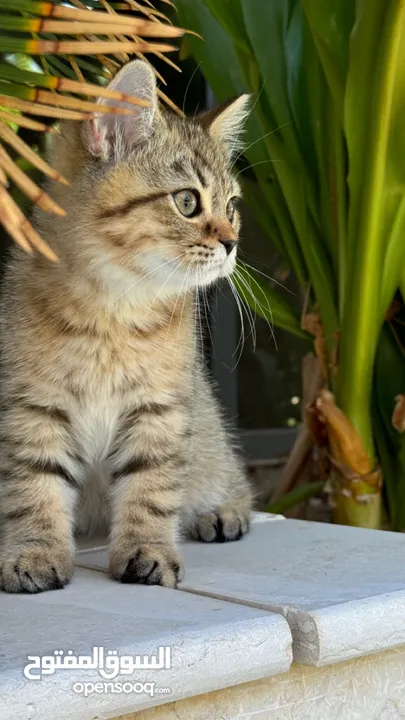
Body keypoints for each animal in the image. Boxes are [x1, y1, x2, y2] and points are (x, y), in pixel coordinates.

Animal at [0, 62, 251, 592]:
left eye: (232, 206)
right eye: (187, 202)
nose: (233, 243)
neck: (113, 311)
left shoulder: (159, 409)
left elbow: (149, 489)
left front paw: (148, 551)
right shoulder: (32, 408)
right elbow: (35, 488)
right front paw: (34, 552)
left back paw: (223, 511)